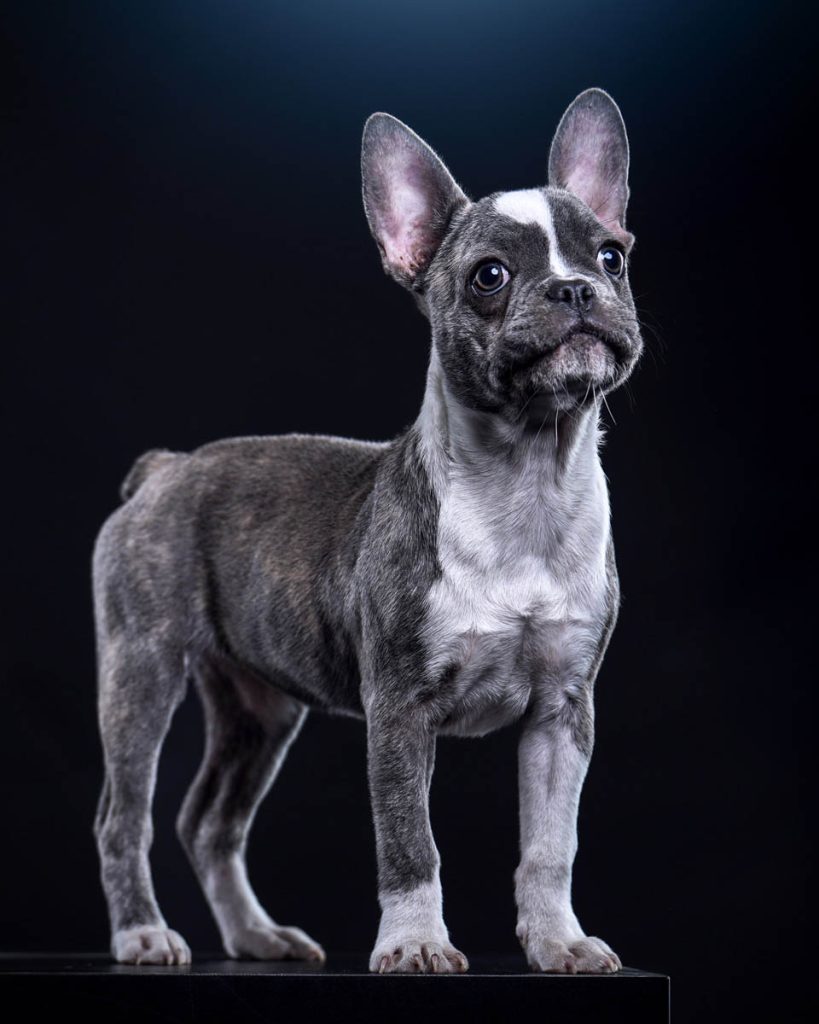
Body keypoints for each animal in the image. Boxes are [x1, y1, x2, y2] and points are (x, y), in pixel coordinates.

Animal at [92, 87, 643, 974]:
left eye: (610, 257)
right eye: (489, 276)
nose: (573, 290)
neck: (526, 478)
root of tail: (166, 468)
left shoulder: (562, 717)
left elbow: (549, 845)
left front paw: (557, 939)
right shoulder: (399, 711)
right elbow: (409, 841)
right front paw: (415, 943)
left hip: (259, 712)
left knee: (210, 821)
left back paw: (255, 935)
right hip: (140, 671)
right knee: (126, 814)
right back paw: (143, 932)